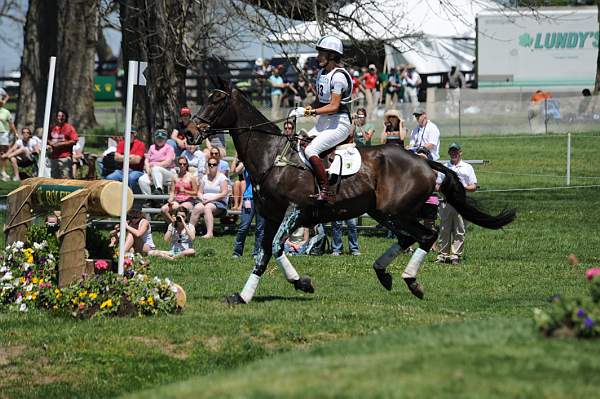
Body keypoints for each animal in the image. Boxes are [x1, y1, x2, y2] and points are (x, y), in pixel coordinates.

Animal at [188, 86, 516, 304]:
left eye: (216, 101)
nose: (190, 132)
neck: (272, 156)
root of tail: (424, 162)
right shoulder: (269, 216)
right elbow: (264, 253)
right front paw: (243, 296)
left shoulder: (295, 210)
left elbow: (278, 248)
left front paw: (302, 282)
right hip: (383, 212)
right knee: (407, 238)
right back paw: (383, 273)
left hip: (396, 211)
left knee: (427, 235)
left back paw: (410, 281)